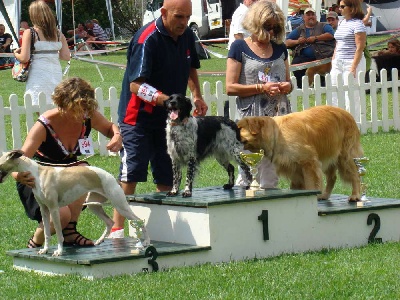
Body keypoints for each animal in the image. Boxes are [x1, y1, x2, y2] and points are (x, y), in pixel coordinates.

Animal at [0, 150, 149, 255]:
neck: (37, 174)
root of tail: (112, 177)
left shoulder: (54, 209)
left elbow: (59, 234)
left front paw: (59, 251)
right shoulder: (44, 210)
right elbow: (47, 233)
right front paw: (45, 249)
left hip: (120, 204)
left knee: (139, 220)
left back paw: (145, 242)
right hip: (93, 205)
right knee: (109, 222)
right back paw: (99, 241)